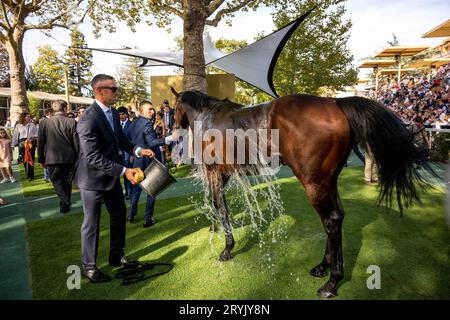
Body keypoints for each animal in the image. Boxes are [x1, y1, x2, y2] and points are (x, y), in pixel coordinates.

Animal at [171, 87, 434, 298]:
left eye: (173, 108)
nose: (173, 128)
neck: (208, 116)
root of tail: (335, 103)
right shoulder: (224, 173)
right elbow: (217, 205)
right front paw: (216, 230)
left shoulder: (214, 172)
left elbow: (221, 208)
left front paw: (226, 248)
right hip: (327, 180)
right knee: (337, 216)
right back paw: (322, 267)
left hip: (312, 182)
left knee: (330, 221)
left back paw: (332, 282)